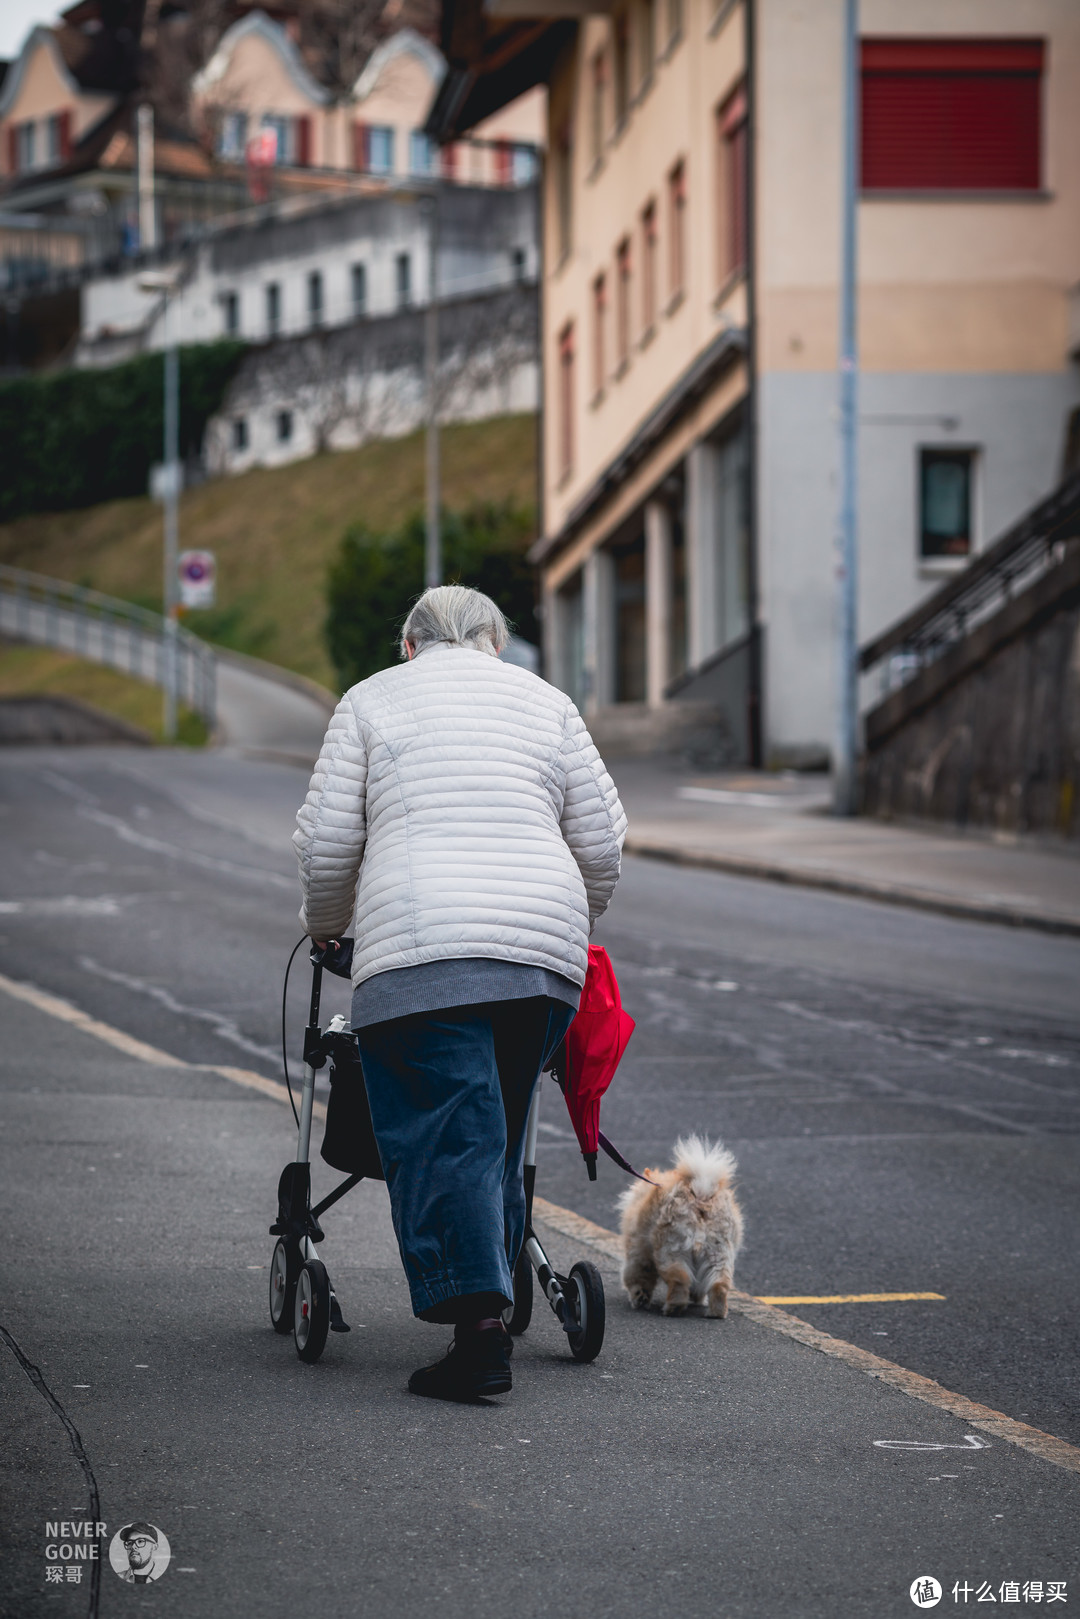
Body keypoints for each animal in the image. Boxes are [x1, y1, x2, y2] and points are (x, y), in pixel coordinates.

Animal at [615, 1139, 744, 1314]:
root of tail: (701, 1194)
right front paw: (697, 1299)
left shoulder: (638, 1252)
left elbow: (637, 1277)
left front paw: (639, 1298)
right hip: (718, 1254)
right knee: (720, 1284)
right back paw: (716, 1312)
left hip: (671, 1251)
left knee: (679, 1279)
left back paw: (672, 1308)